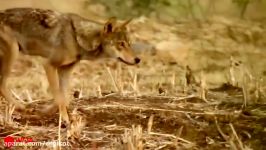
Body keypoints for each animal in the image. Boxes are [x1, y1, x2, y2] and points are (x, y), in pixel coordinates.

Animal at [0, 7, 141, 123]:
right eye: (121, 44)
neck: (77, 38)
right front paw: (64, 120)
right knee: (2, 85)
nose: (138, 59)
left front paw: (48, 111)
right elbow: (59, 96)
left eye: (129, 43)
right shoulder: (49, 65)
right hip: (12, 54)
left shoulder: (65, 70)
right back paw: (20, 107)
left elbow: (64, 96)